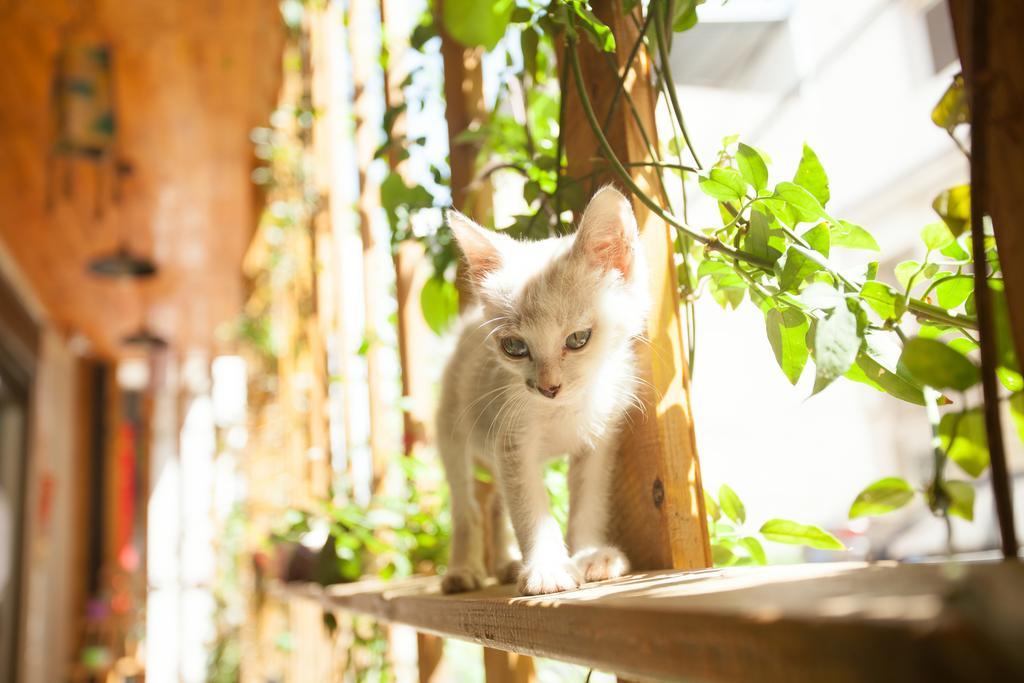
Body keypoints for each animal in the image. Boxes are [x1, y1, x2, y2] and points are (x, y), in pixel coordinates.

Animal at [438, 185, 647, 593]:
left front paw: (590, 555)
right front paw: (548, 568)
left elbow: (588, 500)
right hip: (451, 426)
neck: (567, 409)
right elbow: (528, 507)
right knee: (466, 506)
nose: (548, 387)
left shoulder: (598, 442)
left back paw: (505, 563)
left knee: (493, 503)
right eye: (514, 347)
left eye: (578, 339)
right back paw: (462, 570)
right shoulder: (512, 441)